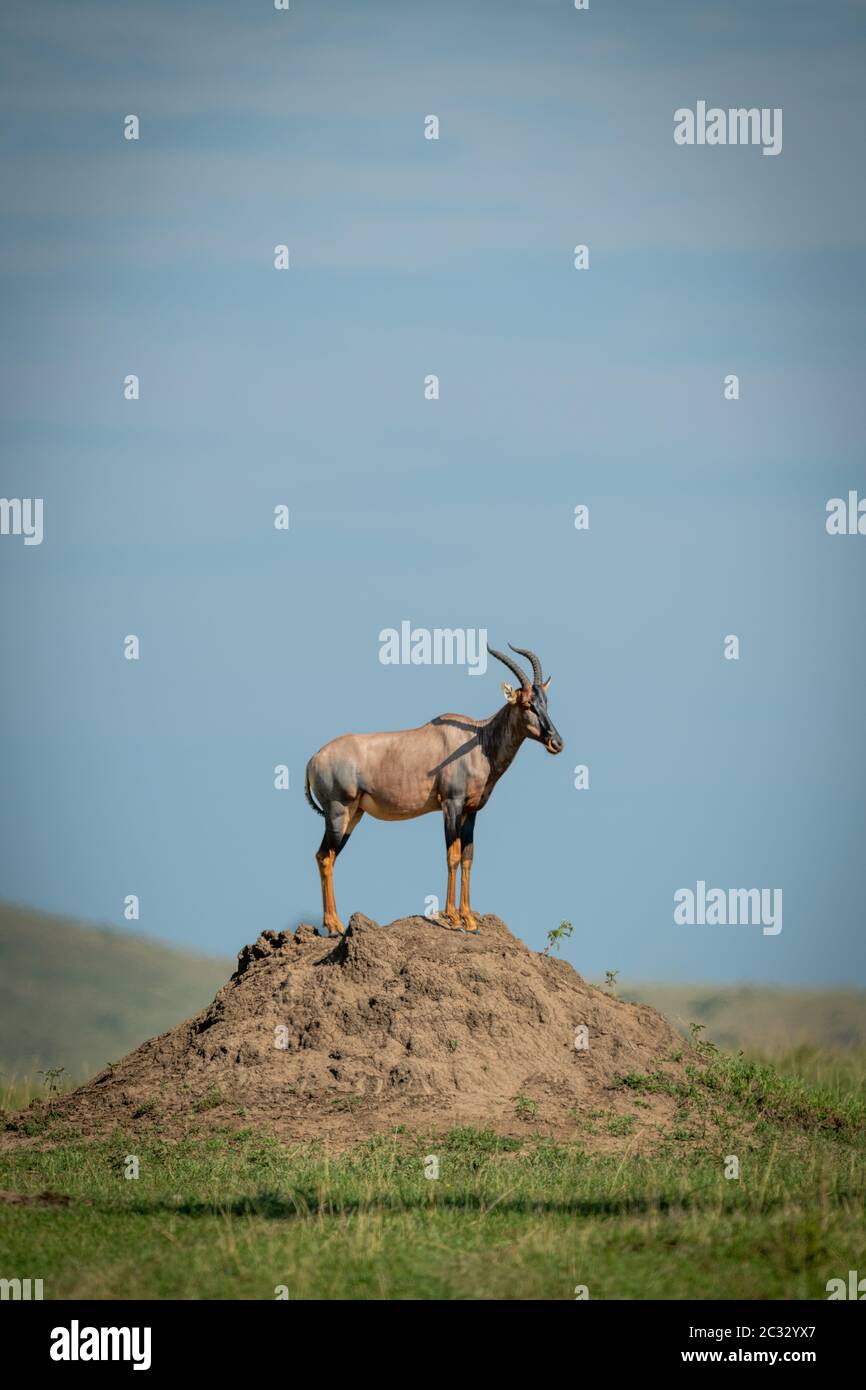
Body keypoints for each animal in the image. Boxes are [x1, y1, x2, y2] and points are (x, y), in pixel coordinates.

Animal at [304, 647, 561, 934]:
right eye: (526, 704)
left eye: (545, 702)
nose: (556, 742)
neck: (477, 740)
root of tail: (314, 759)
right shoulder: (451, 804)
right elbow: (453, 854)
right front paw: (453, 917)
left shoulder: (471, 810)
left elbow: (468, 857)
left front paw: (469, 919)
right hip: (338, 812)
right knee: (325, 857)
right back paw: (335, 925)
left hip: (354, 815)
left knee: (325, 855)